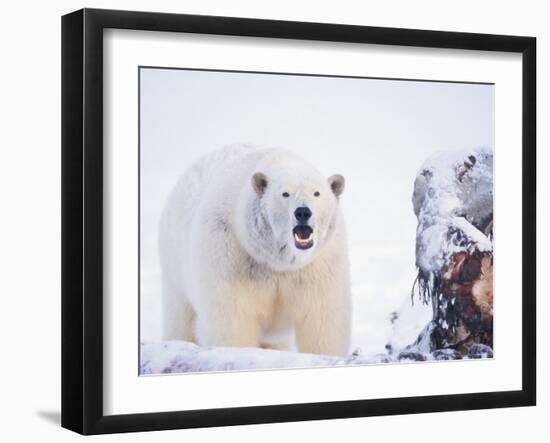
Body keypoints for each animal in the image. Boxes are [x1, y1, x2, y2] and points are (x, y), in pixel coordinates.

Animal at [160, 146, 352, 358]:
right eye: (285, 194)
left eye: (316, 193)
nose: (303, 212)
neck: (276, 262)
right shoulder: (230, 254)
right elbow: (232, 318)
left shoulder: (318, 267)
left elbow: (322, 320)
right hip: (175, 265)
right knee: (180, 317)